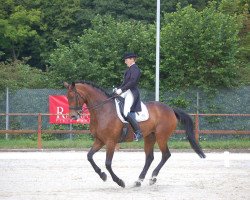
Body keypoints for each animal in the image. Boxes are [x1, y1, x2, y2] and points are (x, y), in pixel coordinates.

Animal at [63, 80, 206, 188]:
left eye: (73, 96)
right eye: (67, 98)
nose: (73, 116)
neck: (103, 110)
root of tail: (170, 109)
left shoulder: (110, 142)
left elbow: (108, 163)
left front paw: (119, 182)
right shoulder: (100, 140)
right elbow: (89, 156)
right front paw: (102, 175)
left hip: (161, 137)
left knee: (166, 155)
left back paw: (153, 178)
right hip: (149, 137)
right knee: (149, 158)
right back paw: (139, 180)